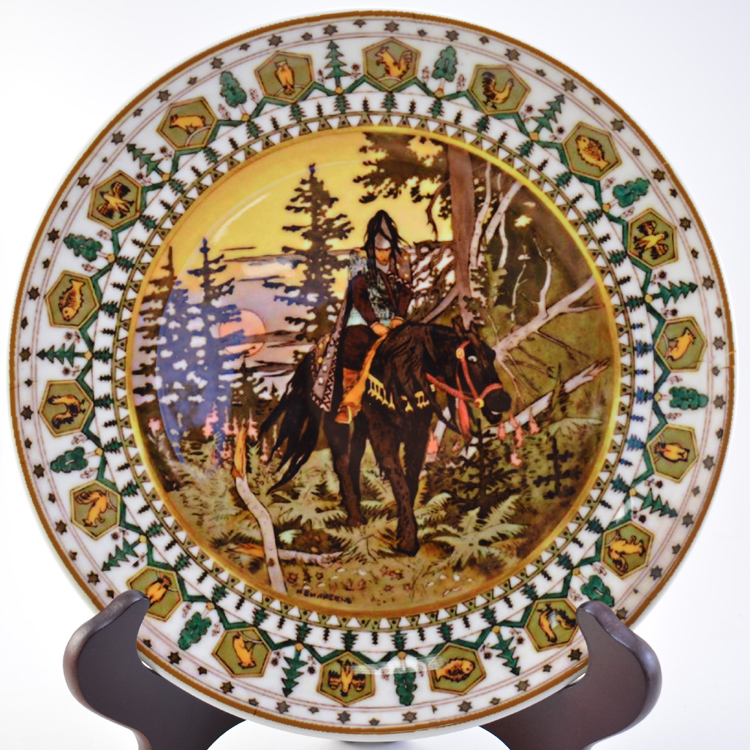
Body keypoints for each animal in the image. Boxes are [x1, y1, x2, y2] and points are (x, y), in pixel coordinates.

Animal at [260, 317, 511, 556]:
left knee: (354, 459)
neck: (406, 376)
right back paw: (355, 517)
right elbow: (399, 482)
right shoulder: (383, 436)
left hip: (361, 424)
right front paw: (408, 542)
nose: (502, 399)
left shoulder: (417, 435)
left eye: (491, 355)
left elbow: (410, 482)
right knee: (341, 461)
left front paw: (403, 530)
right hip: (335, 421)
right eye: (472, 358)